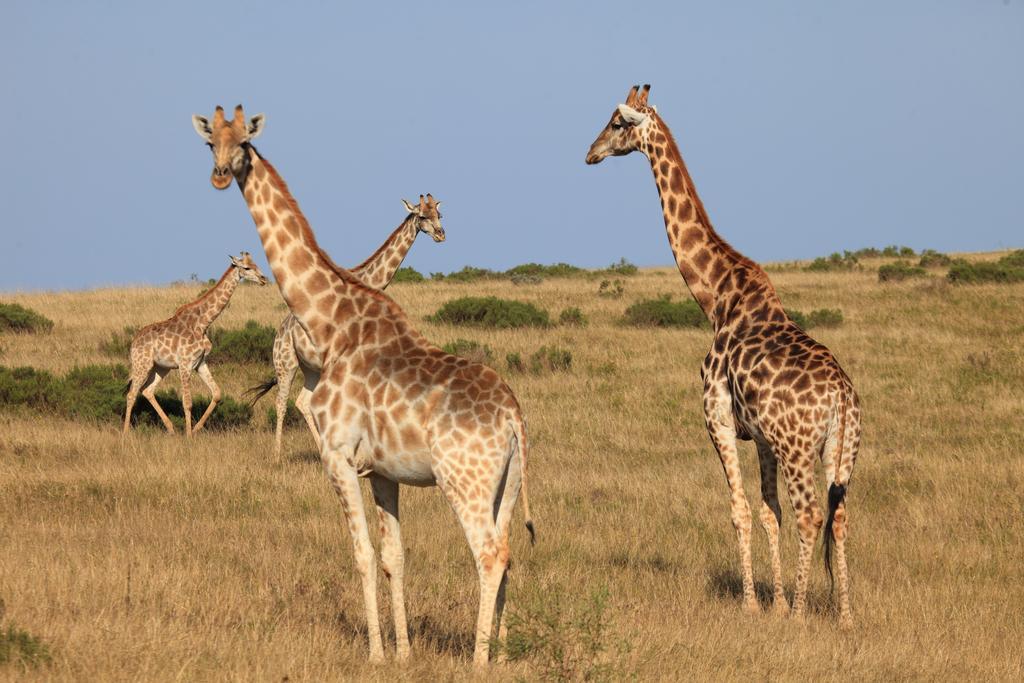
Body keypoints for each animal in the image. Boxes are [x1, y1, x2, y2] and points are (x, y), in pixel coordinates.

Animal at [122, 250, 268, 438]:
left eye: (256, 264)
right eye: (247, 267)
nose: (264, 279)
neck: (203, 323)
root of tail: (133, 343)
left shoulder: (200, 363)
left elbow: (217, 393)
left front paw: (196, 428)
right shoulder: (185, 364)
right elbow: (187, 402)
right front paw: (189, 435)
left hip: (161, 367)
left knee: (147, 390)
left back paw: (171, 429)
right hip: (143, 364)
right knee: (131, 394)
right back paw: (126, 433)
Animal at [246, 198, 444, 464]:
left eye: (439, 214)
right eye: (422, 216)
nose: (441, 235)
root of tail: (280, 331)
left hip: (310, 368)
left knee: (303, 402)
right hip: (286, 363)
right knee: (281, 401)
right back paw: (277, 456)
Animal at [585, 88, 864, 626]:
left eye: (616, 123)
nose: (589, 153)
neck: (716, 297)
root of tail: (842, 397)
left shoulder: (715, 416)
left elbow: (739, 510)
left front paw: (758, 605)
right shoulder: (761, 438)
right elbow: (769, 513)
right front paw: (775, 601)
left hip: (800, 449)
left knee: (812, 515)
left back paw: (803, 614)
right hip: (842, 451)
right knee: (839, 516)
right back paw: (843, 615)